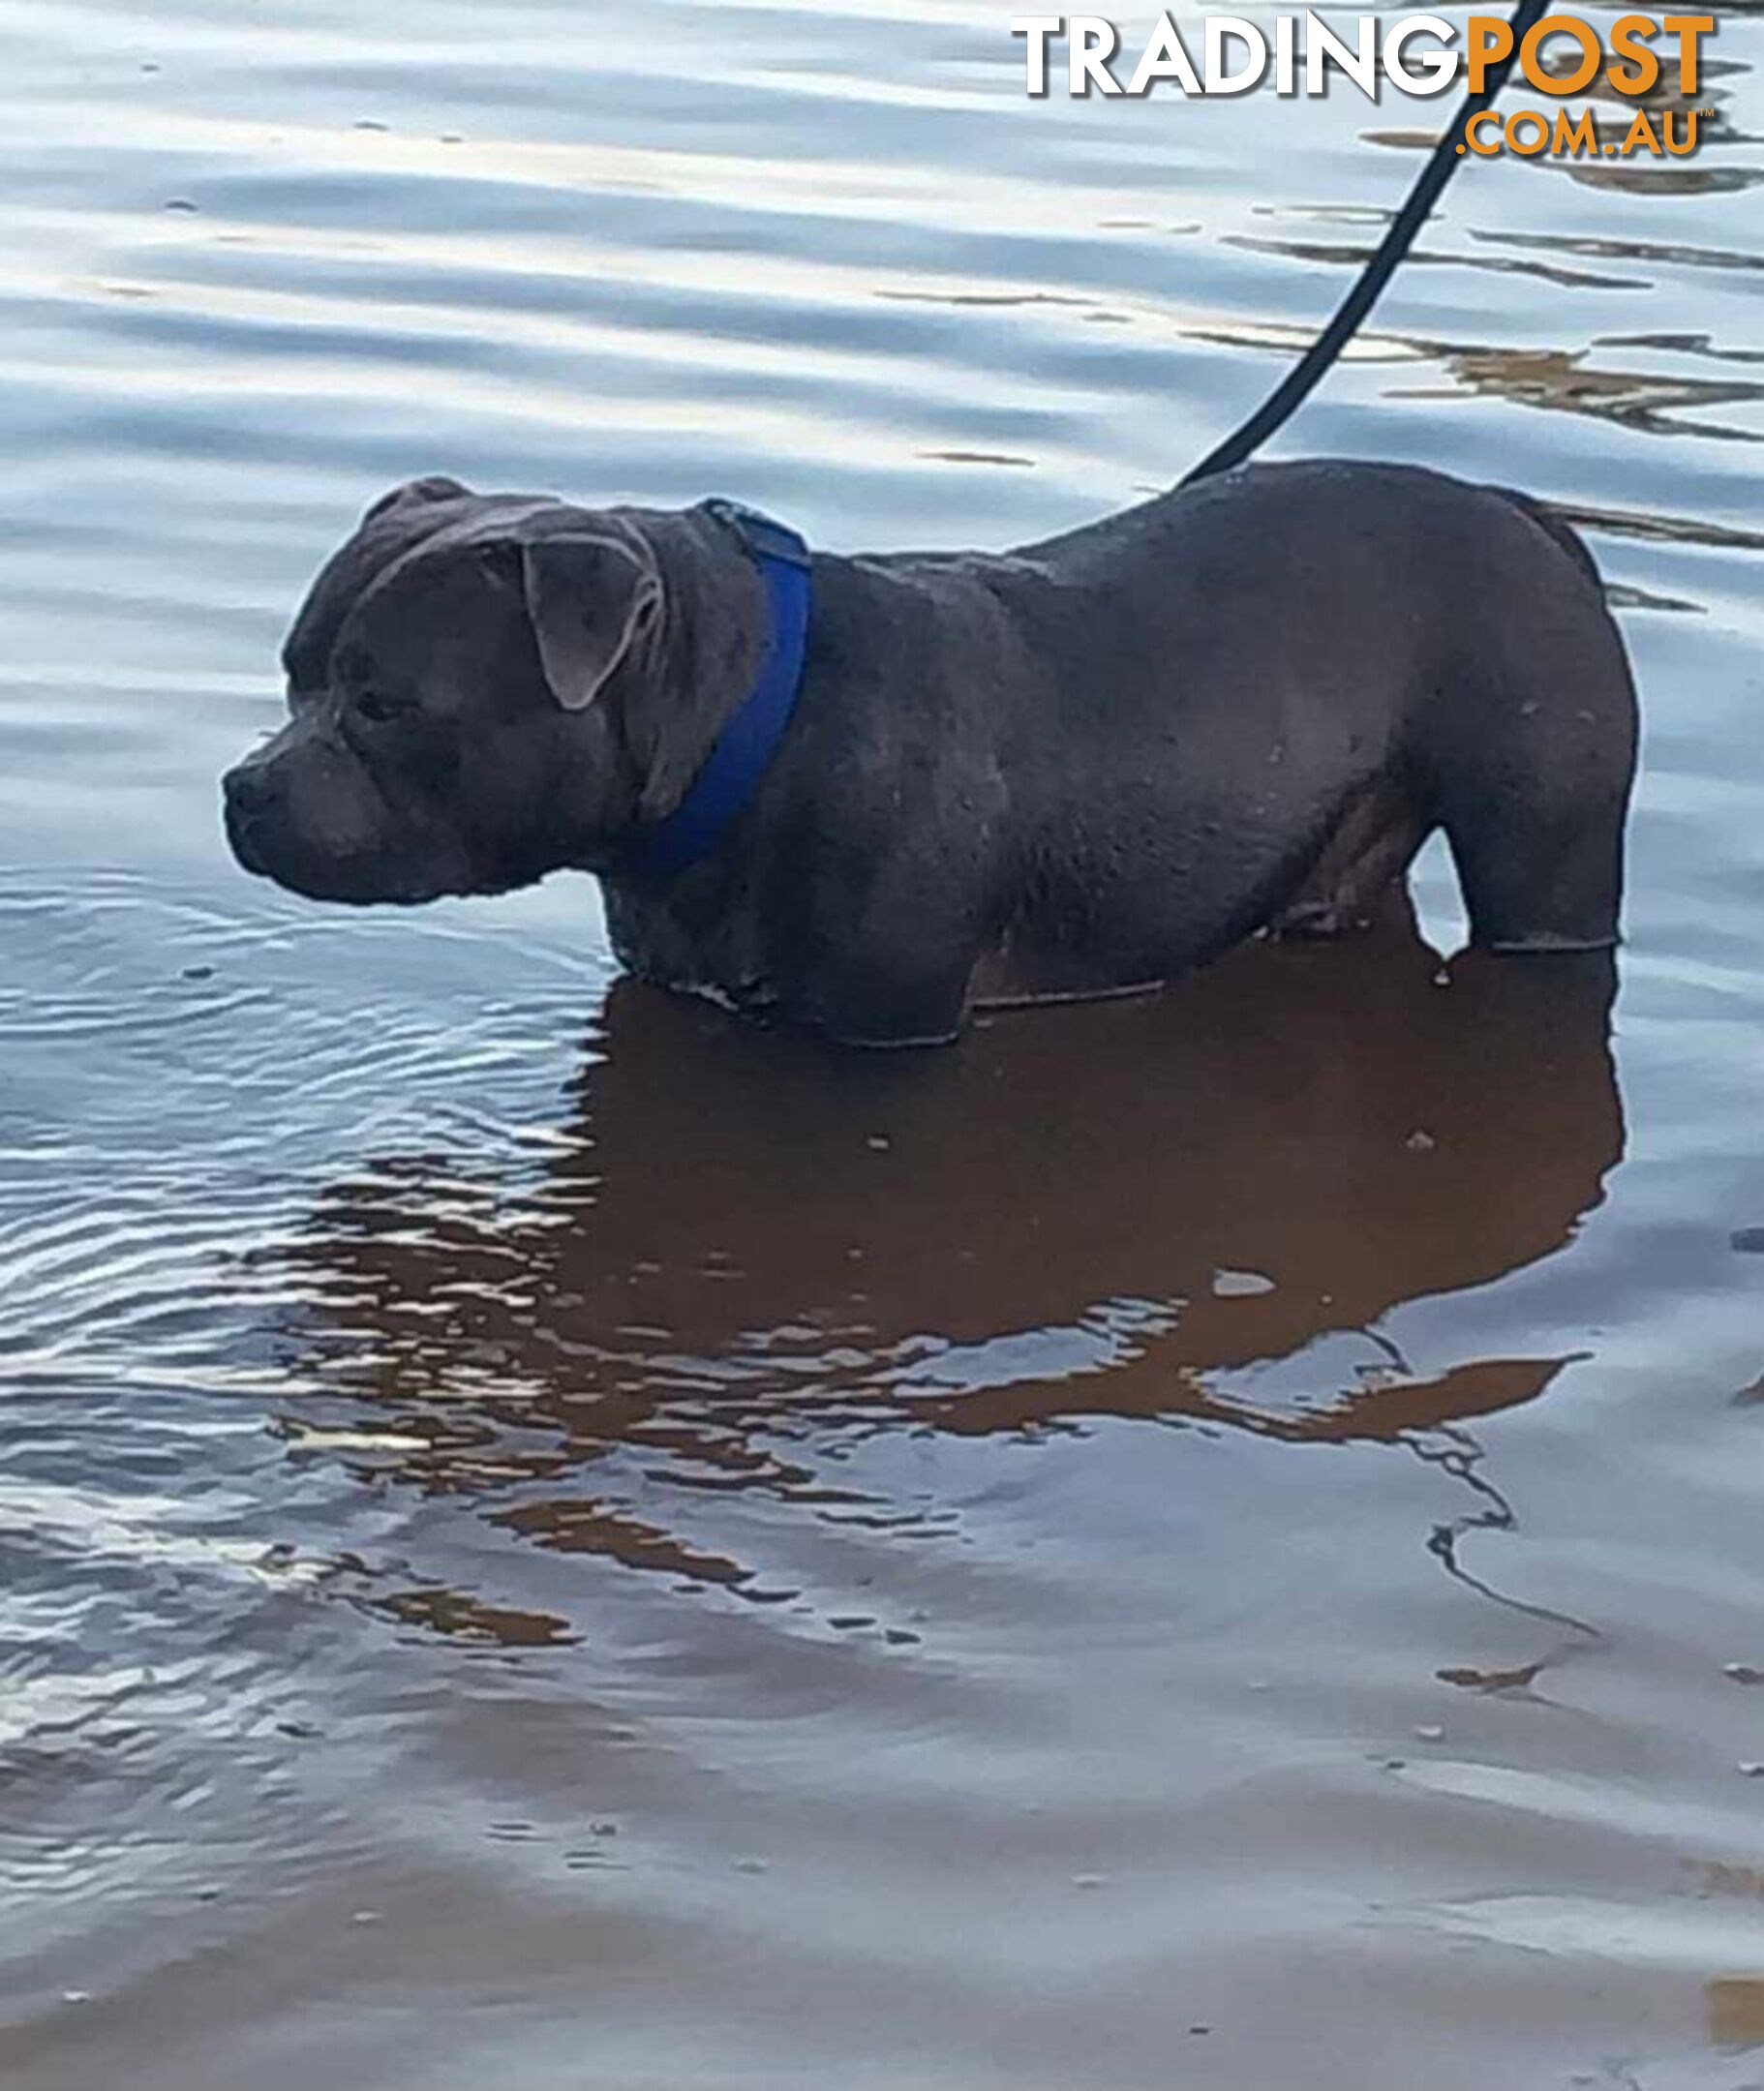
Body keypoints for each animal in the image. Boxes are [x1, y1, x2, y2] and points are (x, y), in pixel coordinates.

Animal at [223, 458, 1638, 1046]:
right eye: (293, 674)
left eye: (386, 706)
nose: (241, 788)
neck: (750, 725)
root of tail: (1521, 514)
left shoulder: (885, 1032)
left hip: (1546, 852)